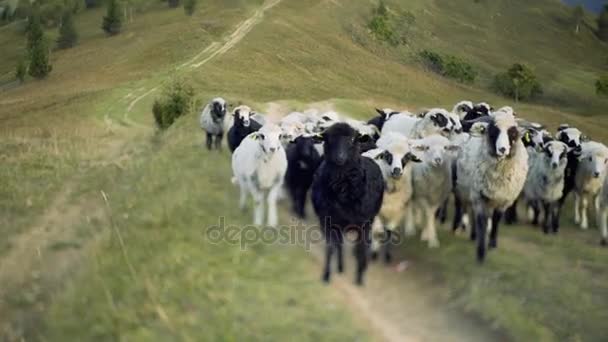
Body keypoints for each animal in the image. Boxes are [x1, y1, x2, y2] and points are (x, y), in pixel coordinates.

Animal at [312, 123, 382, 286]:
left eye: (351, 139)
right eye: (329, 138)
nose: (340, 157)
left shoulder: (364, 223)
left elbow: (361, 248)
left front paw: (360, 278)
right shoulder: (328, 221)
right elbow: (331, 248)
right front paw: (326, 275)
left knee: (363, 245)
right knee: (340, 245)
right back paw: (341, 266)